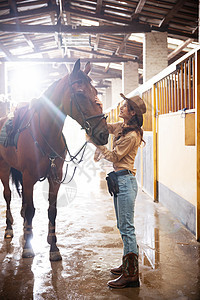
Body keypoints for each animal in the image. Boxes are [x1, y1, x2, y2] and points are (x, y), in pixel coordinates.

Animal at [0, 58, 108, 260]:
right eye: (80, 93)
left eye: (96, 93)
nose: (103, 134)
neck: (45, 132)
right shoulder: (28, 178)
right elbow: (31, 210)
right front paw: (28, 248)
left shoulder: (54, 177)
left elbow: (52, 210)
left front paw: (53, 247)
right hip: (4, 168)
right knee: (8, 196)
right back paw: (9, 229)